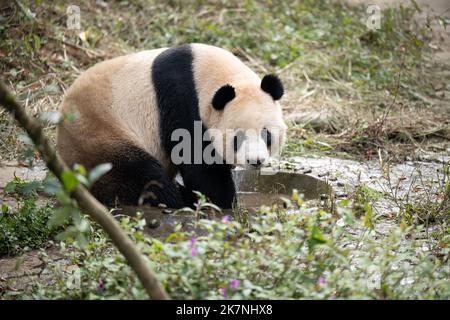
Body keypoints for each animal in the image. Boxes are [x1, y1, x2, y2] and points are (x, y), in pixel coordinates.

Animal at [56, 43, 286, 209]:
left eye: (266, 134)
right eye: (238, 137)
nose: (255, 161)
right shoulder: (181, 102)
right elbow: (199, 165)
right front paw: (225, 199)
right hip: (100, 136)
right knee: (140, 174)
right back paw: (180, 197)